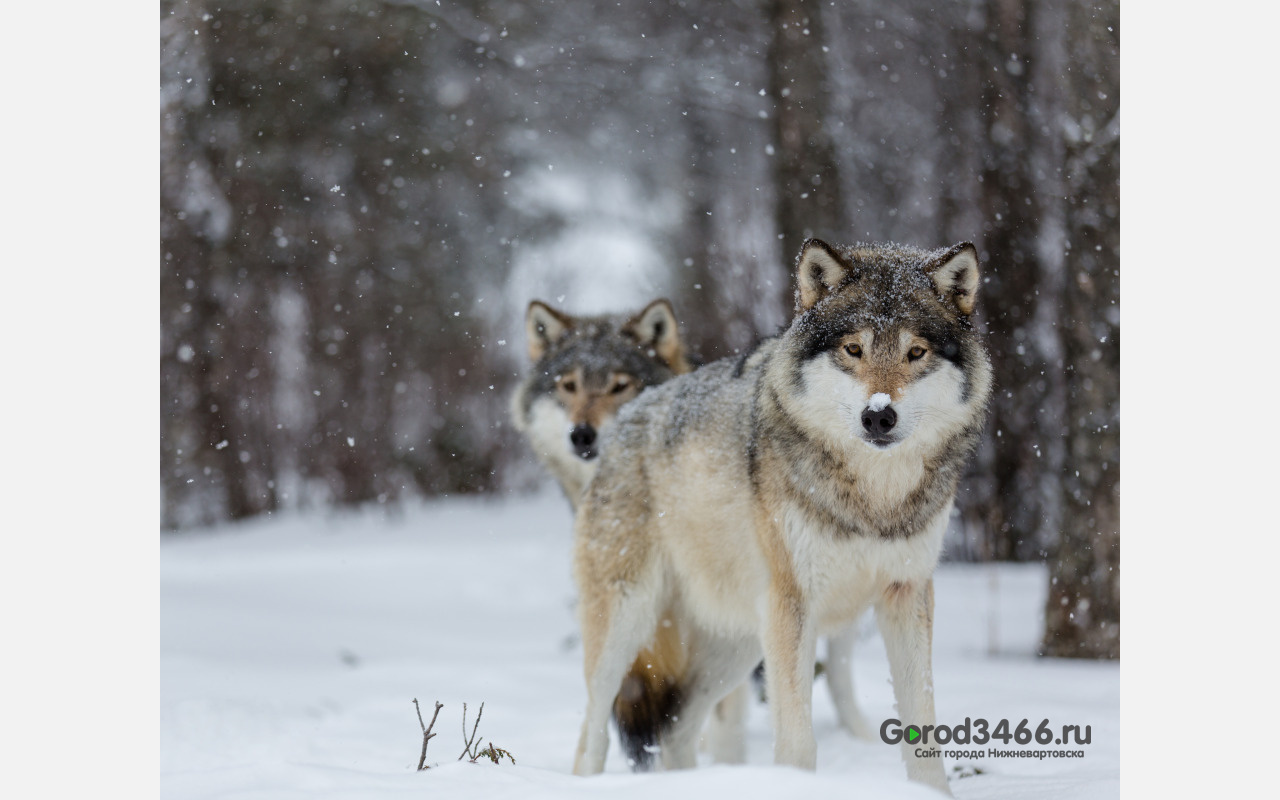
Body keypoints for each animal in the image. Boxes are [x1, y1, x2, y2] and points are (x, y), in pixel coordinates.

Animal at [573, 236, 998, 793]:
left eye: (916, 352)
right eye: (853, 350)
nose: (878, 415)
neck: (872, 500)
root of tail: (627, 415)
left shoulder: (907, 594)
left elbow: (922, 731)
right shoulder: (795, 605)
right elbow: (797, 743)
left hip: (735, 647)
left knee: (676, 733)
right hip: (629, 624)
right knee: (592, 734)